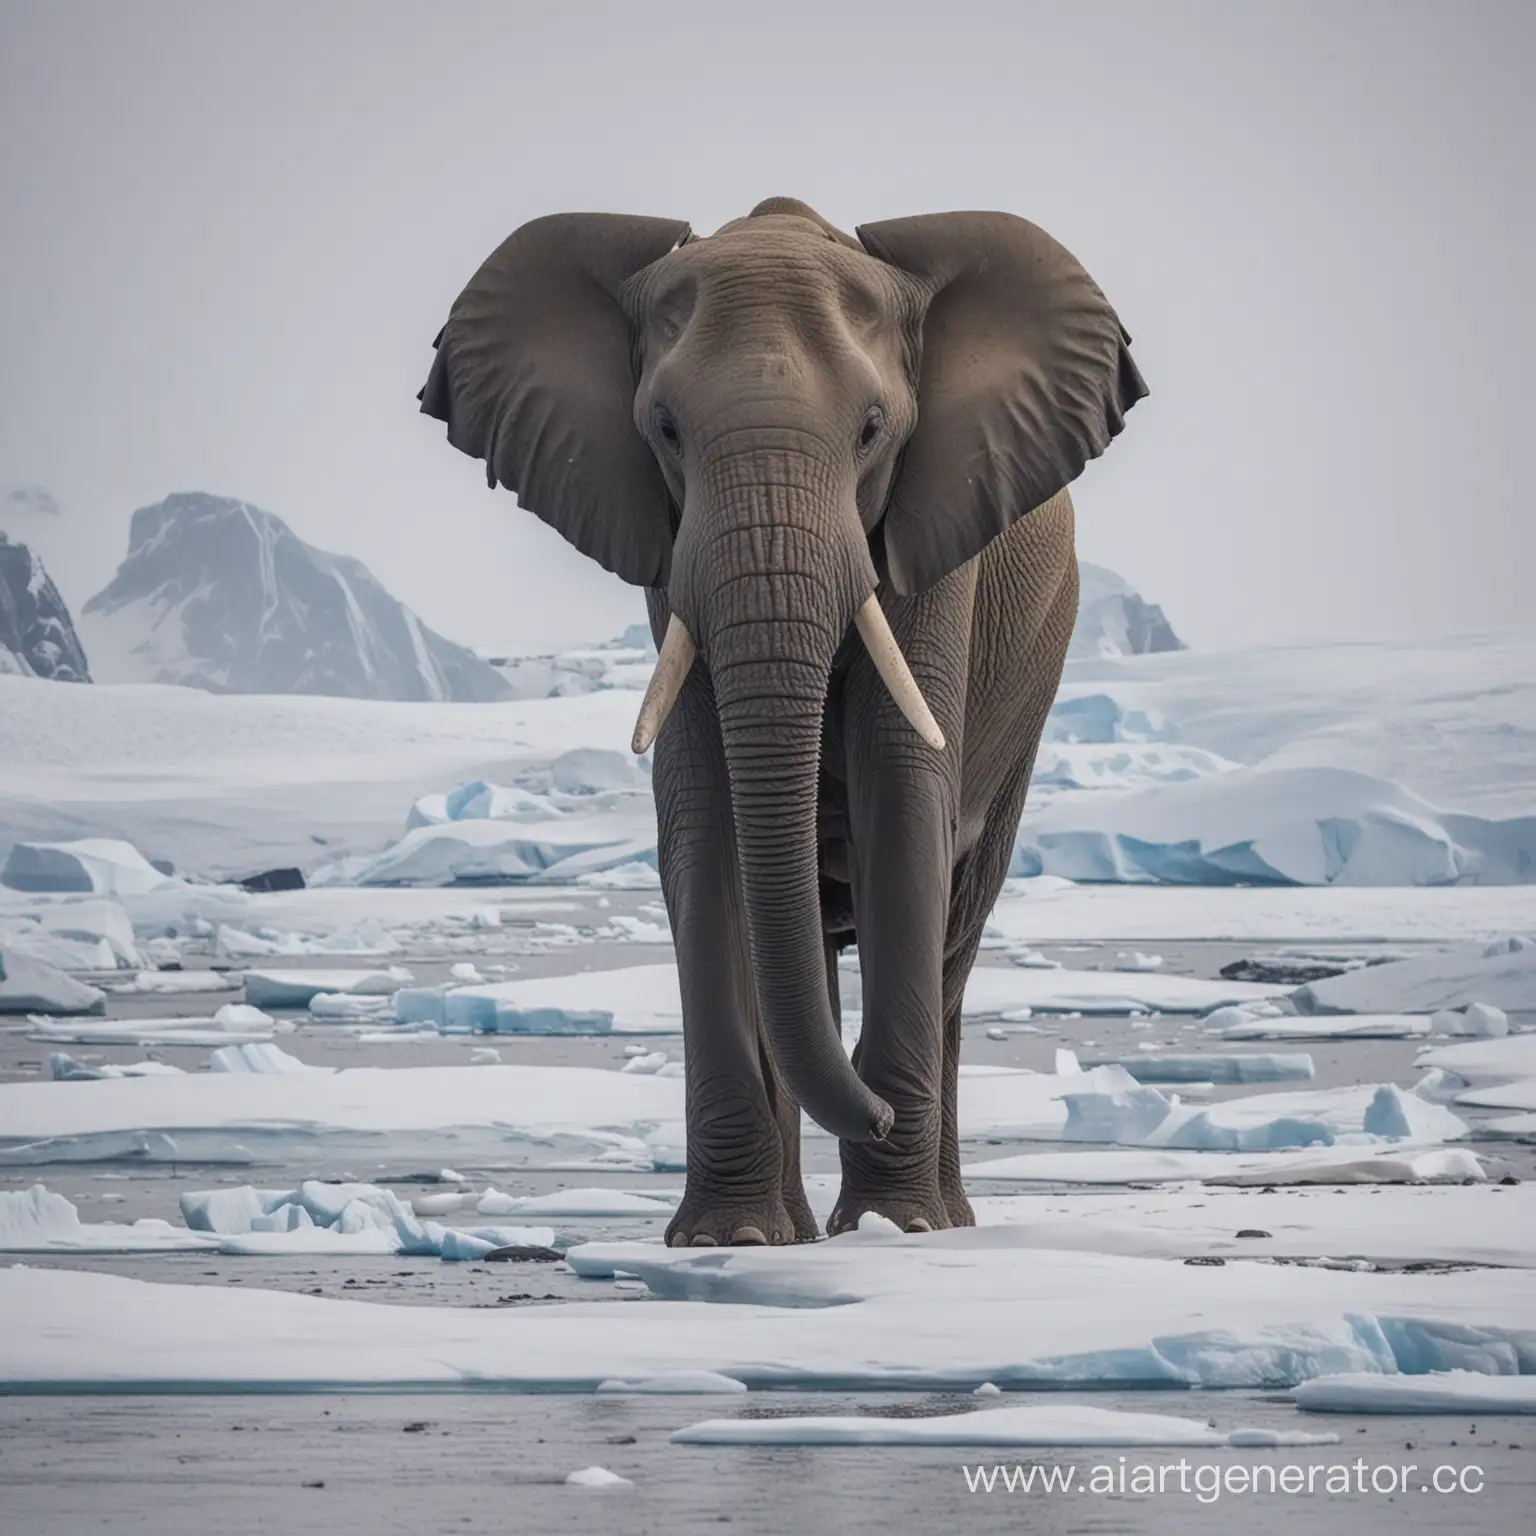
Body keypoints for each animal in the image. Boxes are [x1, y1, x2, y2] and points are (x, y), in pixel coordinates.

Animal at [417, 195, 1142, 1247]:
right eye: (665, 429)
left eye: (875, 429)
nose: (877, 1109)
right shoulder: (666, 553)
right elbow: (706, 821)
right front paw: (729, 1242)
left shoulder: (936, 543)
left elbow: (902, 806)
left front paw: (891, 1231)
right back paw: (808, 1225)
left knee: (954, 934)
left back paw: (942, 1222)